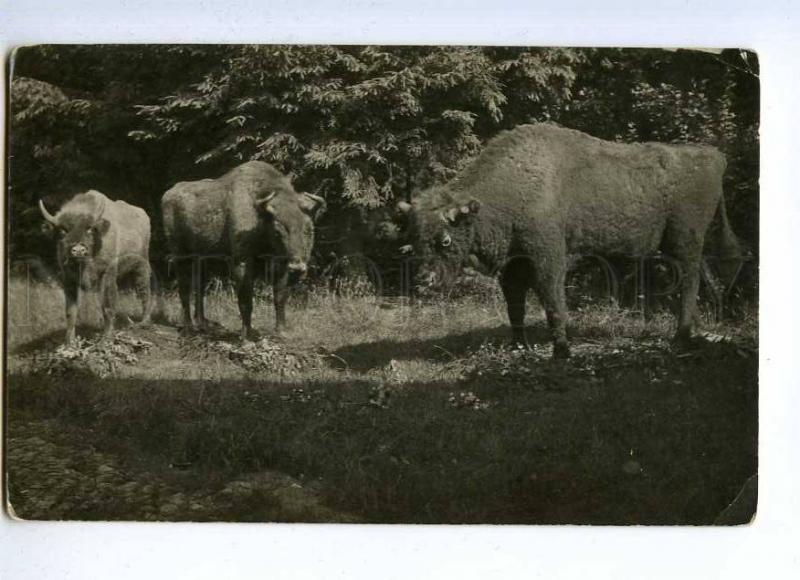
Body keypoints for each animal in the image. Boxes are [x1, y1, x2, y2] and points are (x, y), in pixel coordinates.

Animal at [38, 190, 152, 344]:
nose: (78, 250)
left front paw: (106, 339)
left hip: (141, 267)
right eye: (63, 230)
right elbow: (71, 312)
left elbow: (107, 305)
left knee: (143, 291)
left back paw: (144, 322)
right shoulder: (68, 279)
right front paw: (69, 343)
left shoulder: (107, 274)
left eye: (90, 229)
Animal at [161, 160, 326, 340]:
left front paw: (282, 331)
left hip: (203, 259)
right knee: (184, 288)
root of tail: (168, 194)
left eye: (308, 229)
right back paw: (189, 328)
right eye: (277, 231)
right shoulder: (242, 262)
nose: (298, 267)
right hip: (181, 254)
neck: (261, 217)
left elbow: (280, 297)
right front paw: (247, 335)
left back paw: (204, 323)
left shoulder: (280, 265)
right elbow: (246, 300)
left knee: (200, 287)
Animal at [406, 123, 744, 358]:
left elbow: (554, 304)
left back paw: (681, 337)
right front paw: (519, 347)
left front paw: (561, 351)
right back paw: (699, 331)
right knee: (704, 280)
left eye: (445, 240)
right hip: (687, 245)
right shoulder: (515, 267)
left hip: (683, 241)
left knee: (689, 282)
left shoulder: (548, 260)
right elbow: (515, 306)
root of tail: (714, 157)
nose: (424, 280)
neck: (510, 189)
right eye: (417, 238)